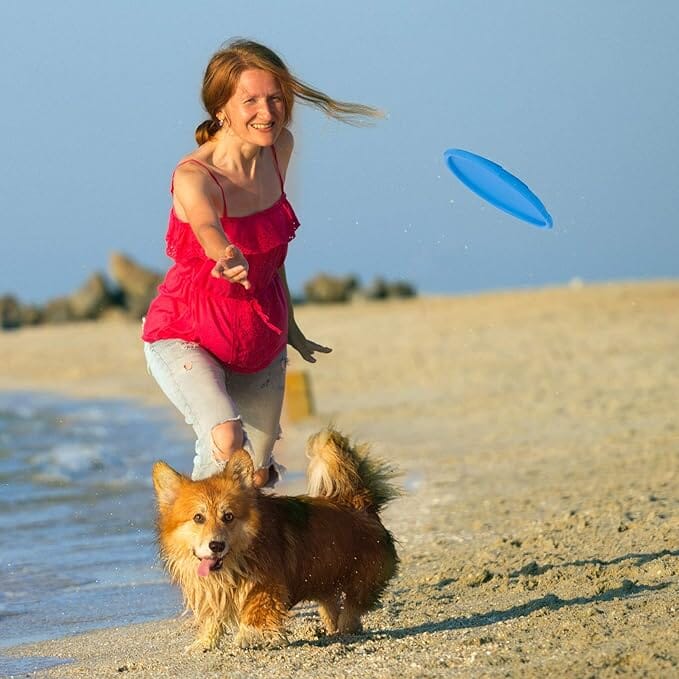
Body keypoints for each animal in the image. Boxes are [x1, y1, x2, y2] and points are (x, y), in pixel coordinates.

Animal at [151, 428, 402, 652]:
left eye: (228, 516)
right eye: (198, 518)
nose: (216, 546)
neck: (234, 563)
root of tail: (359, 503)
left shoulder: (267, 583)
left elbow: (255, 611)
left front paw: (249, 636)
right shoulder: (212, 592)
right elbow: (213, 617)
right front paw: (204, 643)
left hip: (361, 577)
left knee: (352, 607)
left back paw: (346, 629)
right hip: (324, 579)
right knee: (331, 607)